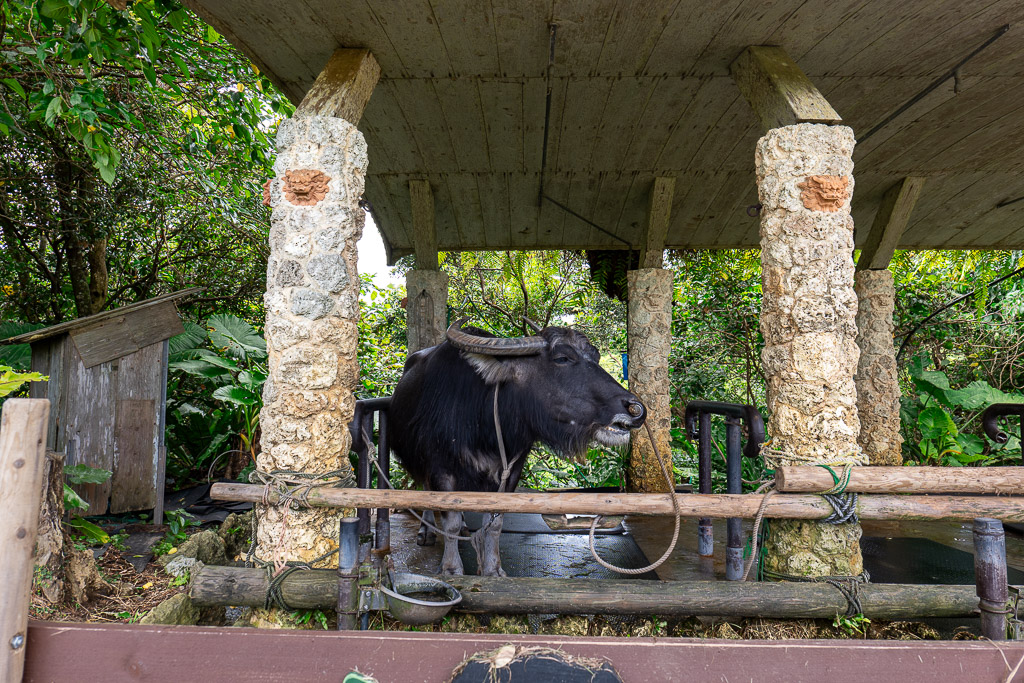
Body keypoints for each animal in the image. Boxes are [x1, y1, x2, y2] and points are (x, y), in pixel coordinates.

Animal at [387, 318, 646, 576]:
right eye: (562, 358)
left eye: (596, 357)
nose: (635, 409)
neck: (483, 425)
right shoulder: (441, 468)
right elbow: (448, 520)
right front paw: (451, 569)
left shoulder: (511, 471)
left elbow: (495, 523)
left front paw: (493, 569)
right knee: (426, 492)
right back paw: (427, 531)